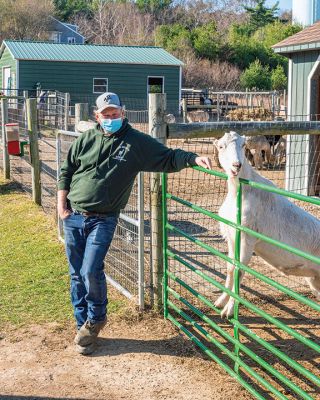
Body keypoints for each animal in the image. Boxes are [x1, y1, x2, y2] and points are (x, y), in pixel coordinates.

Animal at [214, 130, 320, 316]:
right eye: (221, 146)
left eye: (243, 144)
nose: (236, 165)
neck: (239, 192)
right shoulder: (232, 237)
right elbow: (230, 268)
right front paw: (221, 301)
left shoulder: (247, 238)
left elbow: (239, 270)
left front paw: (229, 310)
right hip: (315, 280)